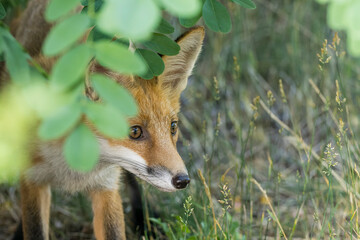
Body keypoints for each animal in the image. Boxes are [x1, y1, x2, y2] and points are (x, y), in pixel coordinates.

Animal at [7, 0, 205, 239]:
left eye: (173, 127)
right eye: (135, 132)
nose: (183, 180)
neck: (75, 162)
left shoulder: (106, 185)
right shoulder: (33, 180)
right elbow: (35, 228)